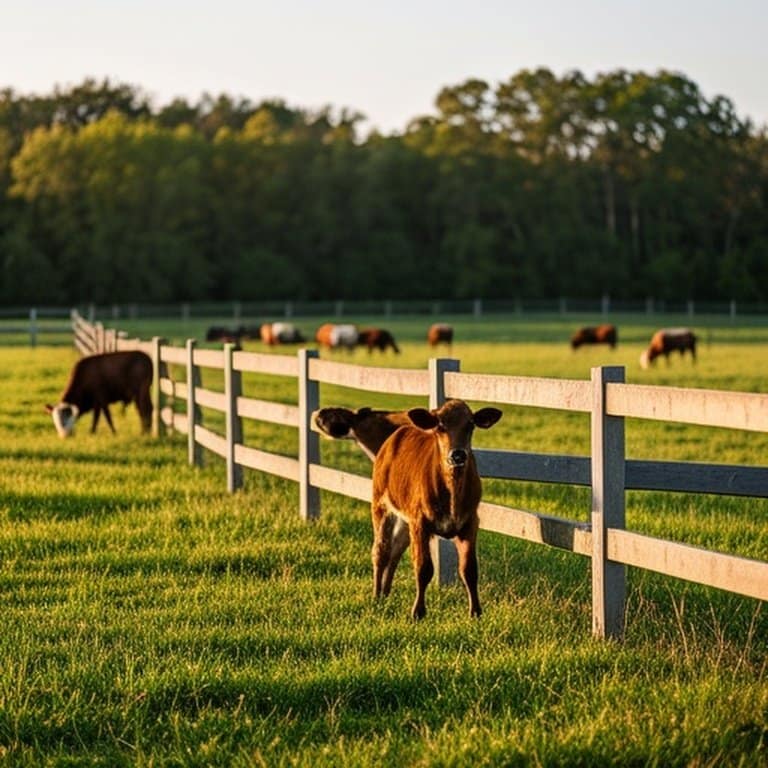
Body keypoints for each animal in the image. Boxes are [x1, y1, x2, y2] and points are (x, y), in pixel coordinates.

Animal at [371, 399, 502, 620]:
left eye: (470, 425)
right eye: (440, 426)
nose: (457, 454)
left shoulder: (470, 522)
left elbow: (469, 569)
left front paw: (475, 612)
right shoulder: (420, 522)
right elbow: (423, 568)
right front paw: (418, 612)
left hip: (405, 521)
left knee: (395, 551)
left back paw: (386, 593)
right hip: (380, 504)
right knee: (381, 550)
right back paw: (376, 596)